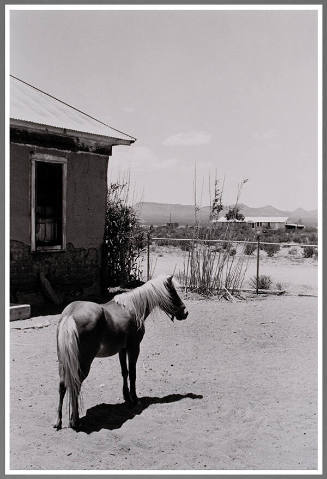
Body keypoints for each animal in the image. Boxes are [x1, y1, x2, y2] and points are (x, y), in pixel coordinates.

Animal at [54, 274, 190, 432]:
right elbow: (132, 373)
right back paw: (74, 421)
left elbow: (124, 372)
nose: (185, 312)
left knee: (62, 385)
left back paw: (59, 422)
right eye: (172, 293)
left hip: (64, 362)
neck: (132, 309)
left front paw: (126, 396)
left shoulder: (122, 350)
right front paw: (134, 399)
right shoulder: (134, 348)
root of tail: (69, 315)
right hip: (83, 363)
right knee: (75, 385)